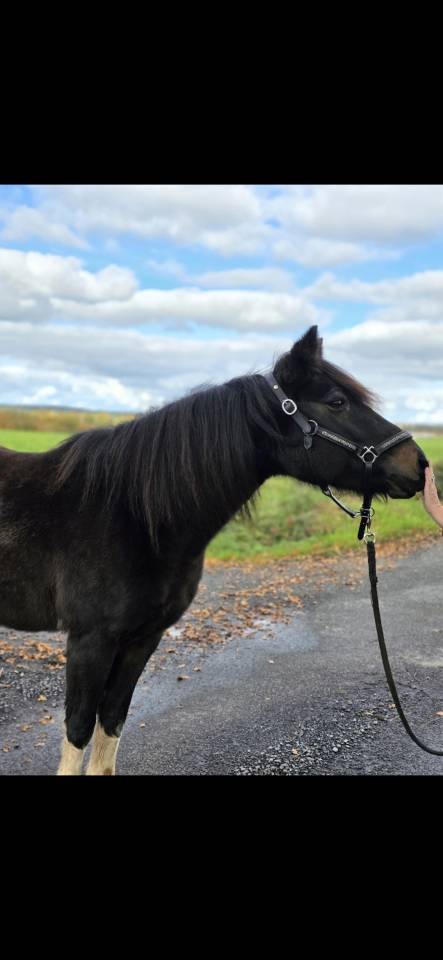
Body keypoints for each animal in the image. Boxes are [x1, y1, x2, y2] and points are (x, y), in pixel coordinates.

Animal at [0, 326, 427, 775]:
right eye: (337, 402)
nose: (419, 464)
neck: (132, 514)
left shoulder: (143, 638)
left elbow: (110, 724)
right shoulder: (90, 641)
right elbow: (79, 728)